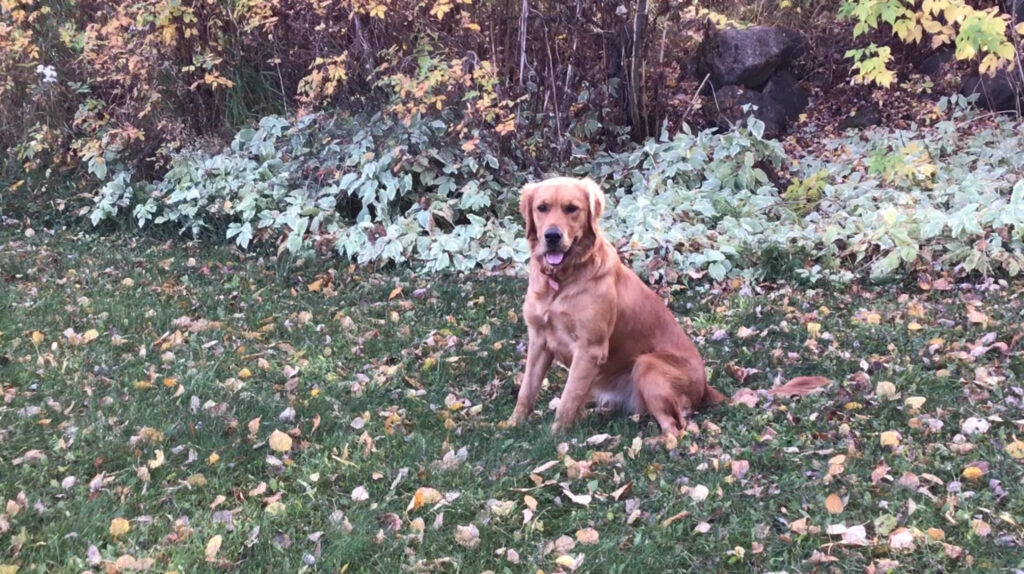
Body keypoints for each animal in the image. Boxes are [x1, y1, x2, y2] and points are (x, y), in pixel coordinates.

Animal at [507, 175, 827, 433]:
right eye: (542, 208)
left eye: (572, 209)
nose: (552, 236)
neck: (561, 282)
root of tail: (706, 386)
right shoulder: (539, 340)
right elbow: (527, 389)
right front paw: (513, 424)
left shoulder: (590, 348)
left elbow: (569, 398)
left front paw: (555, 436)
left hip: (648, 365)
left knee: (676, 427)